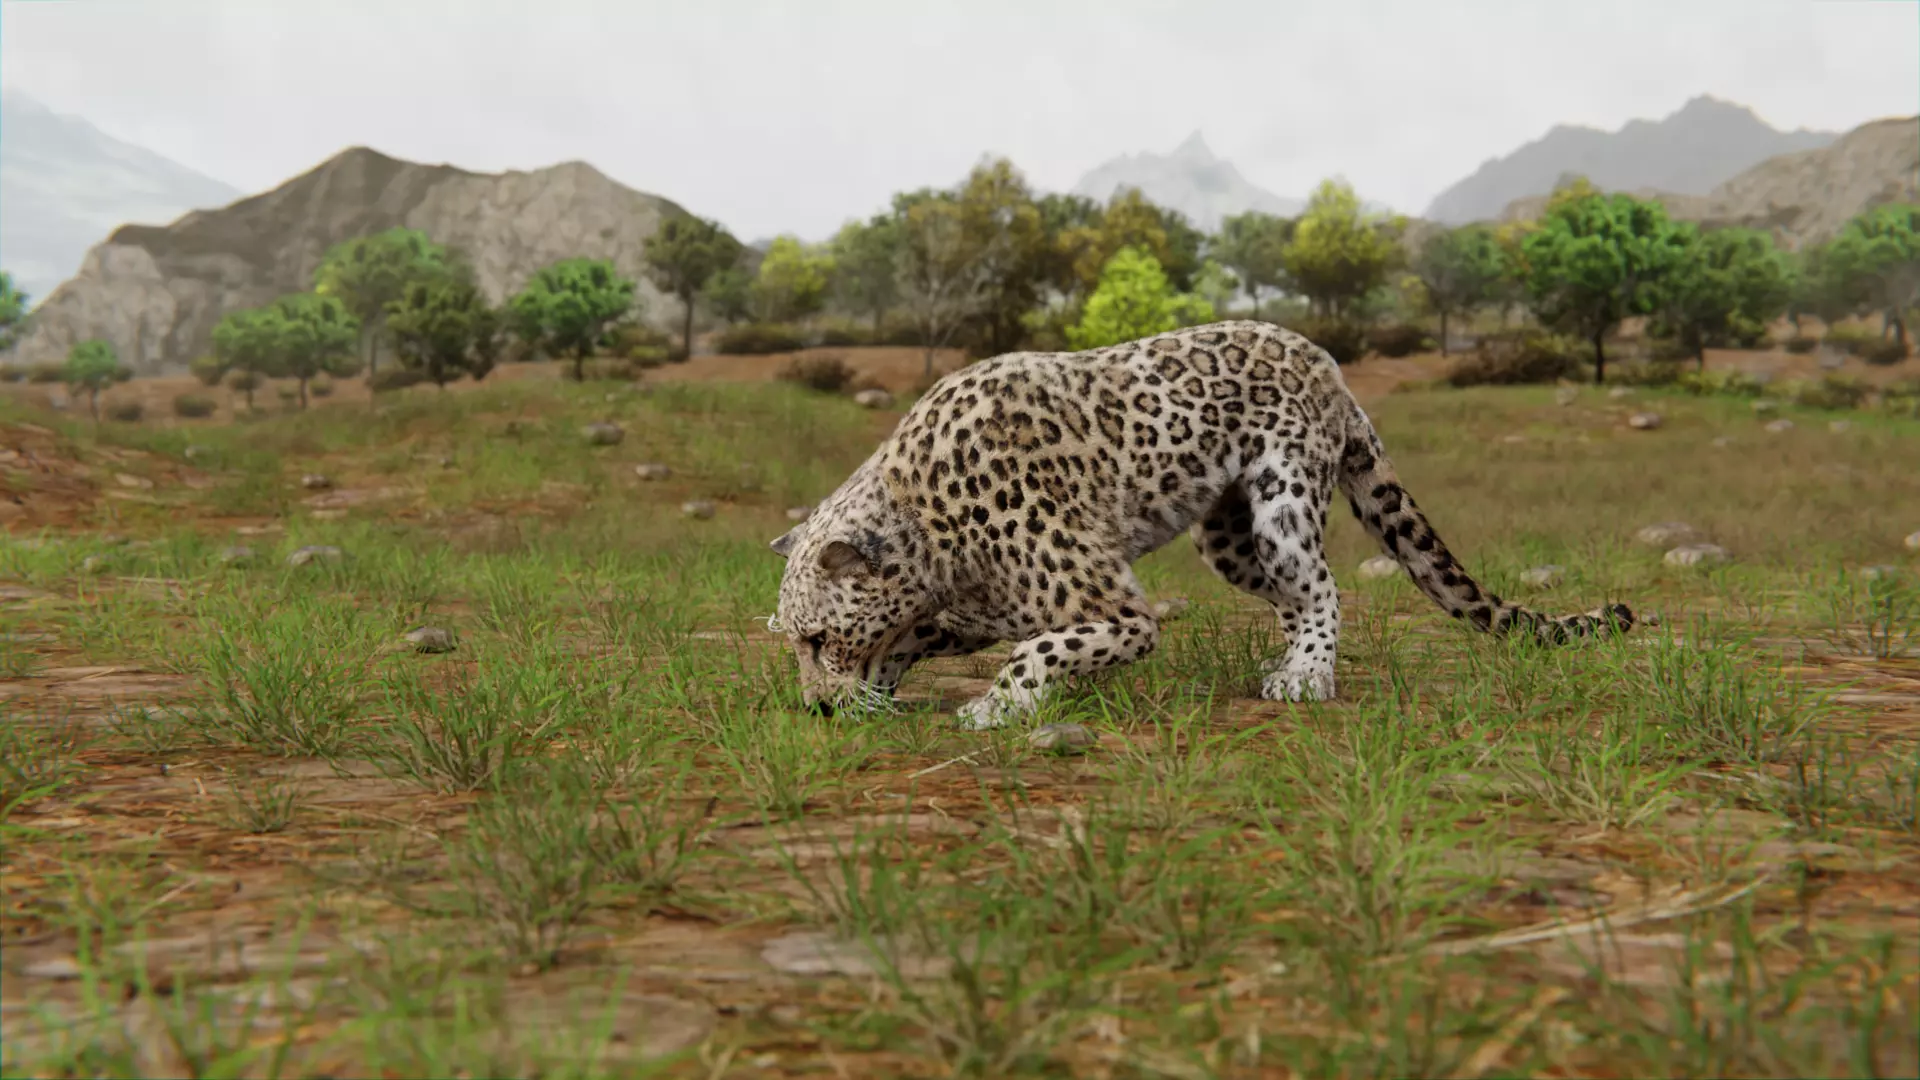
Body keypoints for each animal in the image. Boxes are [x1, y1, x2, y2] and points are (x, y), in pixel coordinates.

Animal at [766, 319, 1633, 729]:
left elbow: (1038, 652)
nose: (812, 709)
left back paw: (1305, 679)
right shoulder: (978, 609)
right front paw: (869, 693)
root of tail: (1330, 367)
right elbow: (914, 637)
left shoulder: (1117, 612)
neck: (930, 522)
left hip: (1284, 502)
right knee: (1294, 598)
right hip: (1228, 540)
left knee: (1323, 589)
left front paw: (996, 709)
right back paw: (1287, 664)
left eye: (818, 636)